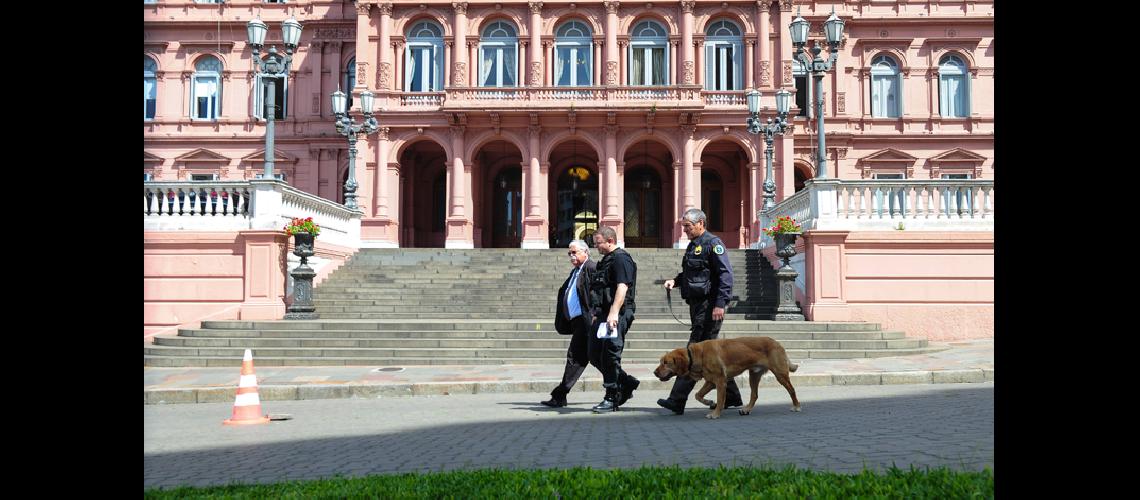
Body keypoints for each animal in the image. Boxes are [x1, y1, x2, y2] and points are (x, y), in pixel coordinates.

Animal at [652, 337, 802, 419]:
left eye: (666, 363)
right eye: (660, 362)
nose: (654, 372)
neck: (695, 355)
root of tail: (777, 343)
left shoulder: (720, 381)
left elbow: (720, 399)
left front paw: (715, 414)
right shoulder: (710, 382)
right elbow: (697, 395)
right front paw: (708, 402)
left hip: (780, 374)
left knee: (792, 390)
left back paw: (796, 406)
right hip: (753, 375)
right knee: (754, 395)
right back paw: (746, 409)